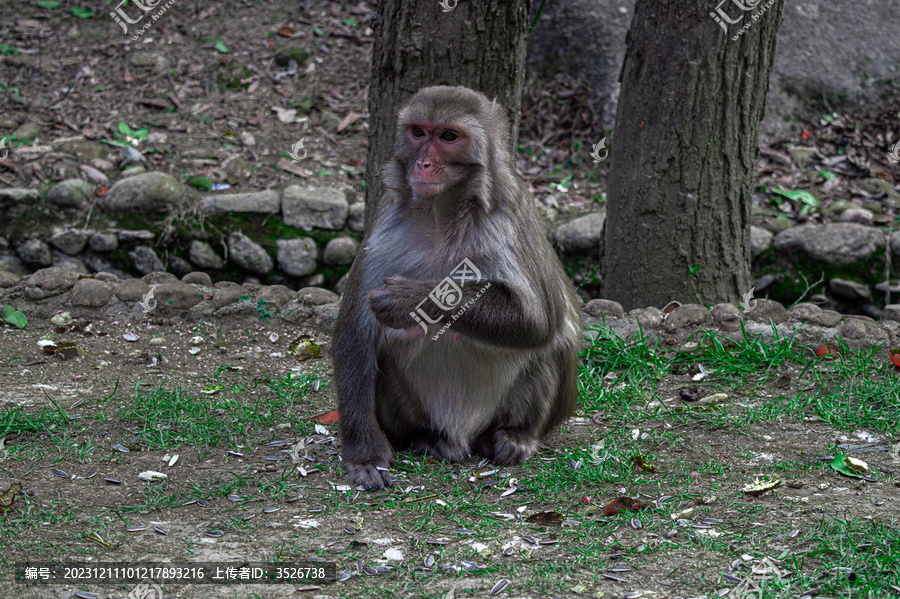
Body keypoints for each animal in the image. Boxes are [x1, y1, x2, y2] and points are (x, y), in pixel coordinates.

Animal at [334, 88, 580, 492]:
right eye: (418, 132)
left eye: (449, 137)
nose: (424, 164)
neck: (441, 213)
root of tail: (461, 434)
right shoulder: (386, 221)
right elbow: (356, 332)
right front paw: (365, 453)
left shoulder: (509, 215)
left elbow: (537, 320)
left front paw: (409, 299)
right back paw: (426, 437)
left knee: (554, 343)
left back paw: (514, 435)